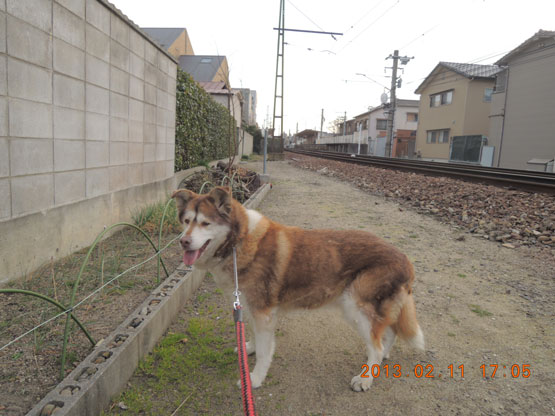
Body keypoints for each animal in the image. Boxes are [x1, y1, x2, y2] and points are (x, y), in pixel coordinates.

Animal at [171, 186, 424, 392]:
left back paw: (365, 378)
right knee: (387, 335)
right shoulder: (249, 306)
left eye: (205, 223)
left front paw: (254, 379)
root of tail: (406, 260)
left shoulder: (263, 313)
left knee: (377, 345)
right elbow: (252, 335)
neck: (239, 241)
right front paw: (249, 349)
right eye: (186, 221)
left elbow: (264, 352)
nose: (183, 242)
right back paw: (378, 362)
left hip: (355, 308)